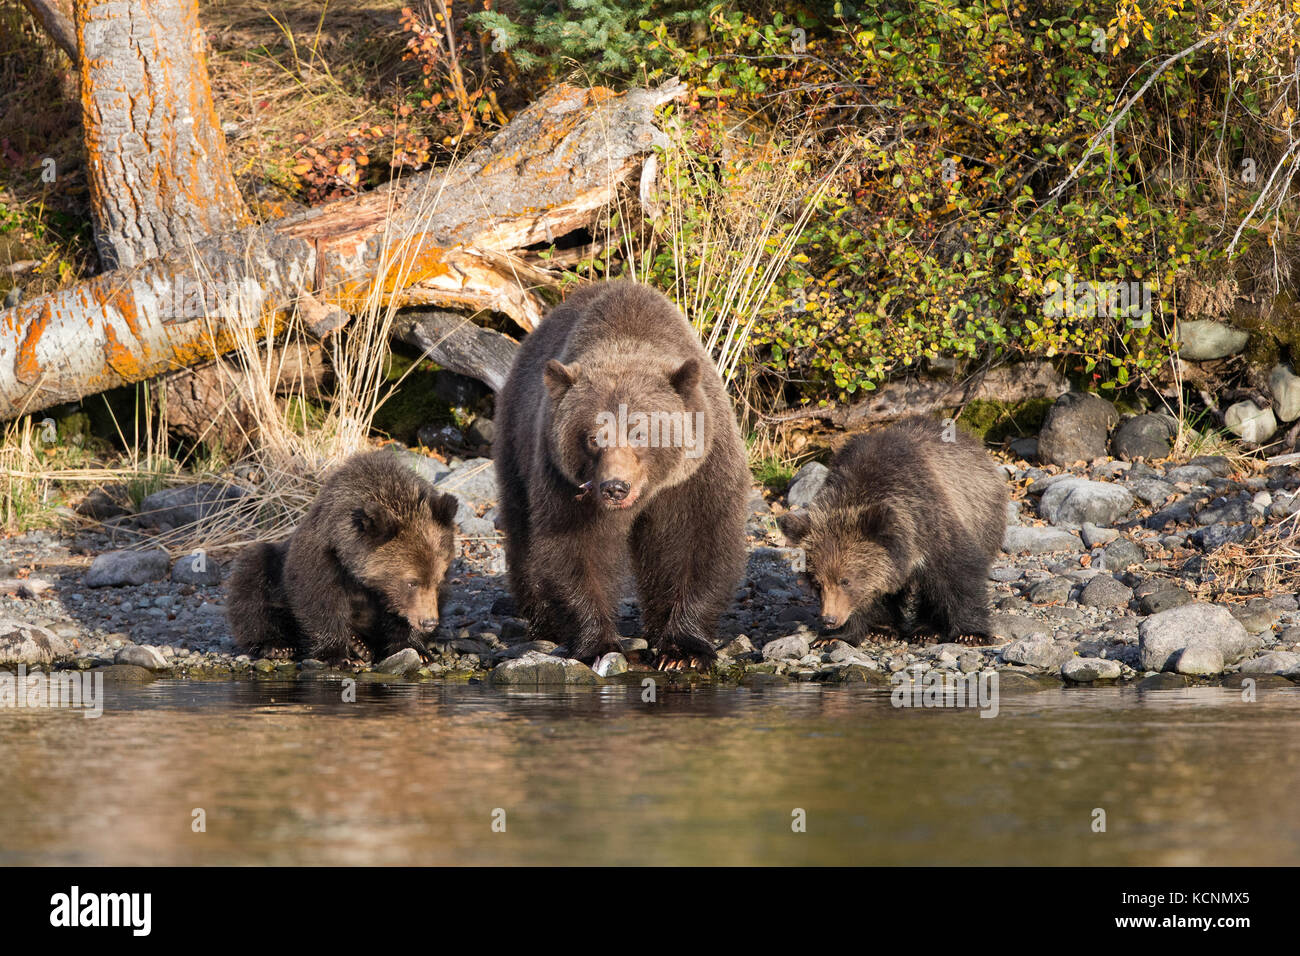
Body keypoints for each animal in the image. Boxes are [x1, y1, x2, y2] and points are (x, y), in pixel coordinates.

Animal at [226, 450, 460, 660]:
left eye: (438, 581)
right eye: (411, 582)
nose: (429, 622)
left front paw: (416, 649)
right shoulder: (323, 556)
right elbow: (318, 599)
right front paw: (335, 654)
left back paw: (360, 646)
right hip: (271, 569)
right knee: (252, 578)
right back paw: (277, 646)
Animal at [491, 280, 748, 671]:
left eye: (640, 432)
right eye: (594, 437)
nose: (615, 487)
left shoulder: (699, 473)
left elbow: (697, 541)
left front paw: (682, 650)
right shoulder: (565, 484)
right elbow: (576, 550)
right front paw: (598, 645)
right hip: (516, 442)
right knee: (522, 531)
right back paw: (544, 623)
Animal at [774, 416, 1008, 647]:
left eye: (846, 580)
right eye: (817, 582)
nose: (829, 619)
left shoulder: (931, 523)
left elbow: (958, 577)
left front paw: (971, 633)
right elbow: (870, 596)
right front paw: (837, 636)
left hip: (982, 515)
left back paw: (925, 630)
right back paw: (885, 629)